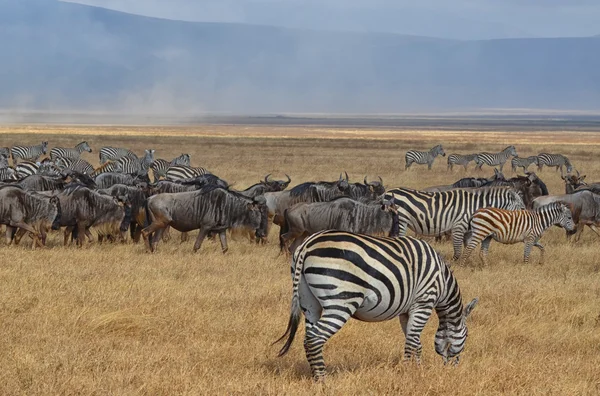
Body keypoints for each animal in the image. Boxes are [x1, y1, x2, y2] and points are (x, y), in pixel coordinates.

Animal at [276, 229, 478, 380]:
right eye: (467, 336)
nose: (453, 367)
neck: (443, 283)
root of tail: (307, 244)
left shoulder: (407, 311)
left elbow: (414, 340)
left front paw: (417, 368)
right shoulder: (424, 302)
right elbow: (412, 340)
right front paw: (407, 371)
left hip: (309, 303)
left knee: (308, 337)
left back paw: (315, 375)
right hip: (341, 301)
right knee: (315, 338)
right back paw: (323, 381)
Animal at [384, 188, 524, 262]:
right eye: (522, 208)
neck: (474, 207)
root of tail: (388, 192)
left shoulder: (468, 231)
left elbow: (468, 248)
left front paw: (468, 263)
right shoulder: (458, 227)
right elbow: (458, 250)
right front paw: (456, 264)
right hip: (402, 221)